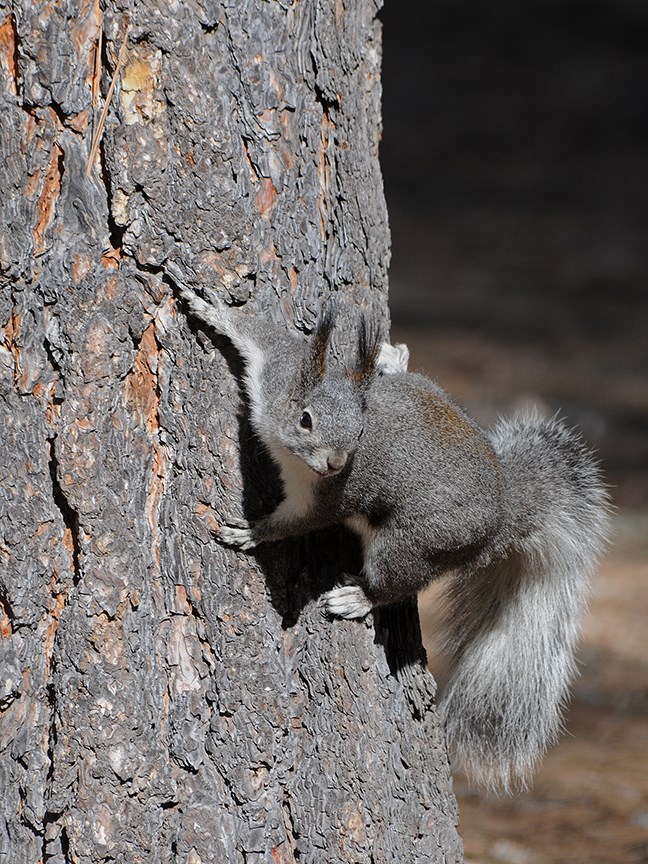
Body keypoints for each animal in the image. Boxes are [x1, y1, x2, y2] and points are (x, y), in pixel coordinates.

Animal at [175, 280, 612, 792]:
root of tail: (502, 516)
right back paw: (390, 362)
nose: (336, 462)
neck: (292, 450)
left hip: (409, 545)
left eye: (361, 430)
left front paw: (254, 531)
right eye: (306, 419)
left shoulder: (330, 497)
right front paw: (205, 306)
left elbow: (298, 523)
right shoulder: (279, 374)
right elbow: (258, 334)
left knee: (397, 582)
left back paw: (358, 597)